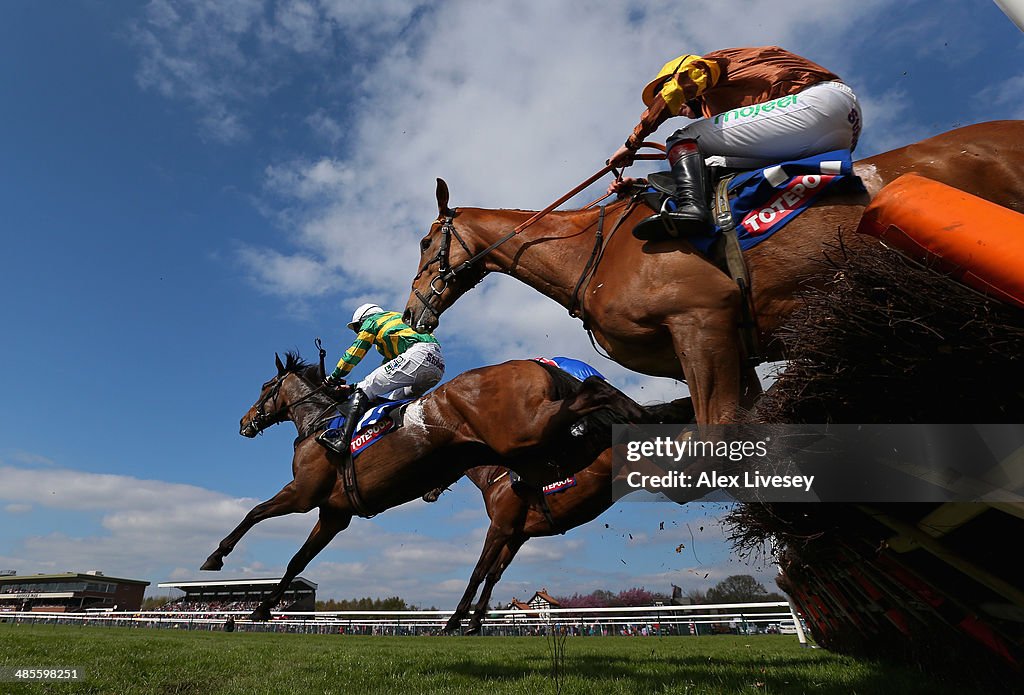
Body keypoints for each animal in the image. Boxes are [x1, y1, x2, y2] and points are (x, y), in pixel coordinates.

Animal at [206, 354, 671, 618]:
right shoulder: (334, 514)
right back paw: (647, 418)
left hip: (526, 431)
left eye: (265, 388)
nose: (244, 422)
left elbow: (253, 512)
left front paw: (216, 556)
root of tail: (537, 363)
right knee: (599, 402)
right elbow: (296, 562)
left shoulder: (303, 494)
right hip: (541, 440)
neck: (320, 424)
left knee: (593, 389)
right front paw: (262, 608)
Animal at [403, 120, 1024, 423]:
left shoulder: (702, 320)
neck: (592, 254)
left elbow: (718, 428)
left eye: (425, 242)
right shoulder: (728, 347)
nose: (411, 310)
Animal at [440, 399, 696, 634]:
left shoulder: (499, 527)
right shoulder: (517, 535)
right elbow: (493, 574)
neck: (496, 476)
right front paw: (475, 621)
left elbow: (478, 572)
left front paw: (455, 620)